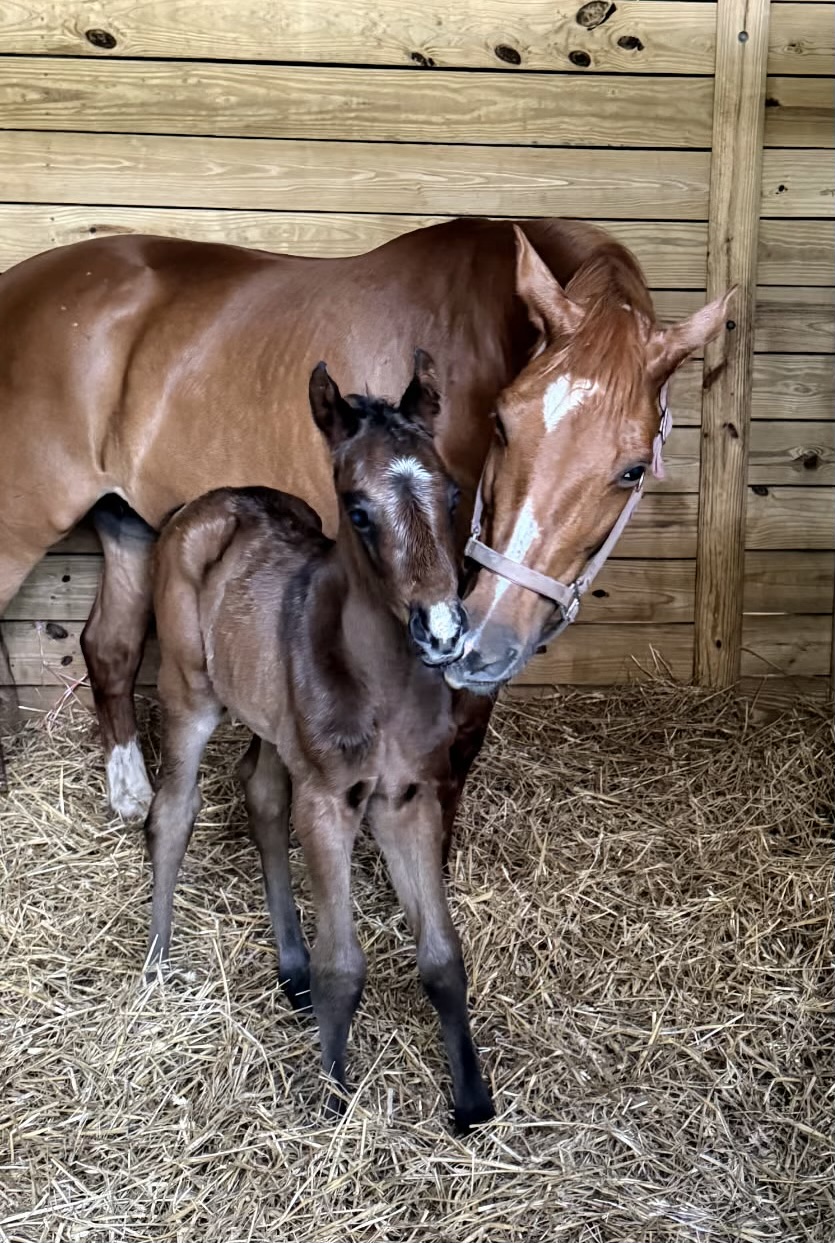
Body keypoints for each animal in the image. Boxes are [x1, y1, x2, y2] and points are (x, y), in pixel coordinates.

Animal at [0, 216, 732, 831]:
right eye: (501, 423)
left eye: (632, 470)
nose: (488, 639)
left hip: (127, 523)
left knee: (110, 646)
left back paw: (130, 794)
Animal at [144, 353, 494, 1132]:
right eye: (358, 511)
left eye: (455, 493)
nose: (443, 632)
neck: (385, 684)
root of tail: (210, 500)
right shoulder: (331, 802)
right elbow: (347, 966)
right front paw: (334, 1100)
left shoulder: (406, 797)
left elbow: (443, 956)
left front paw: (471, 1100)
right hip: (189, 696)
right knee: (172, 812)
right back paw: (154, 965)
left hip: (276, 728)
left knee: (261, 794)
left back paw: (290, 968)